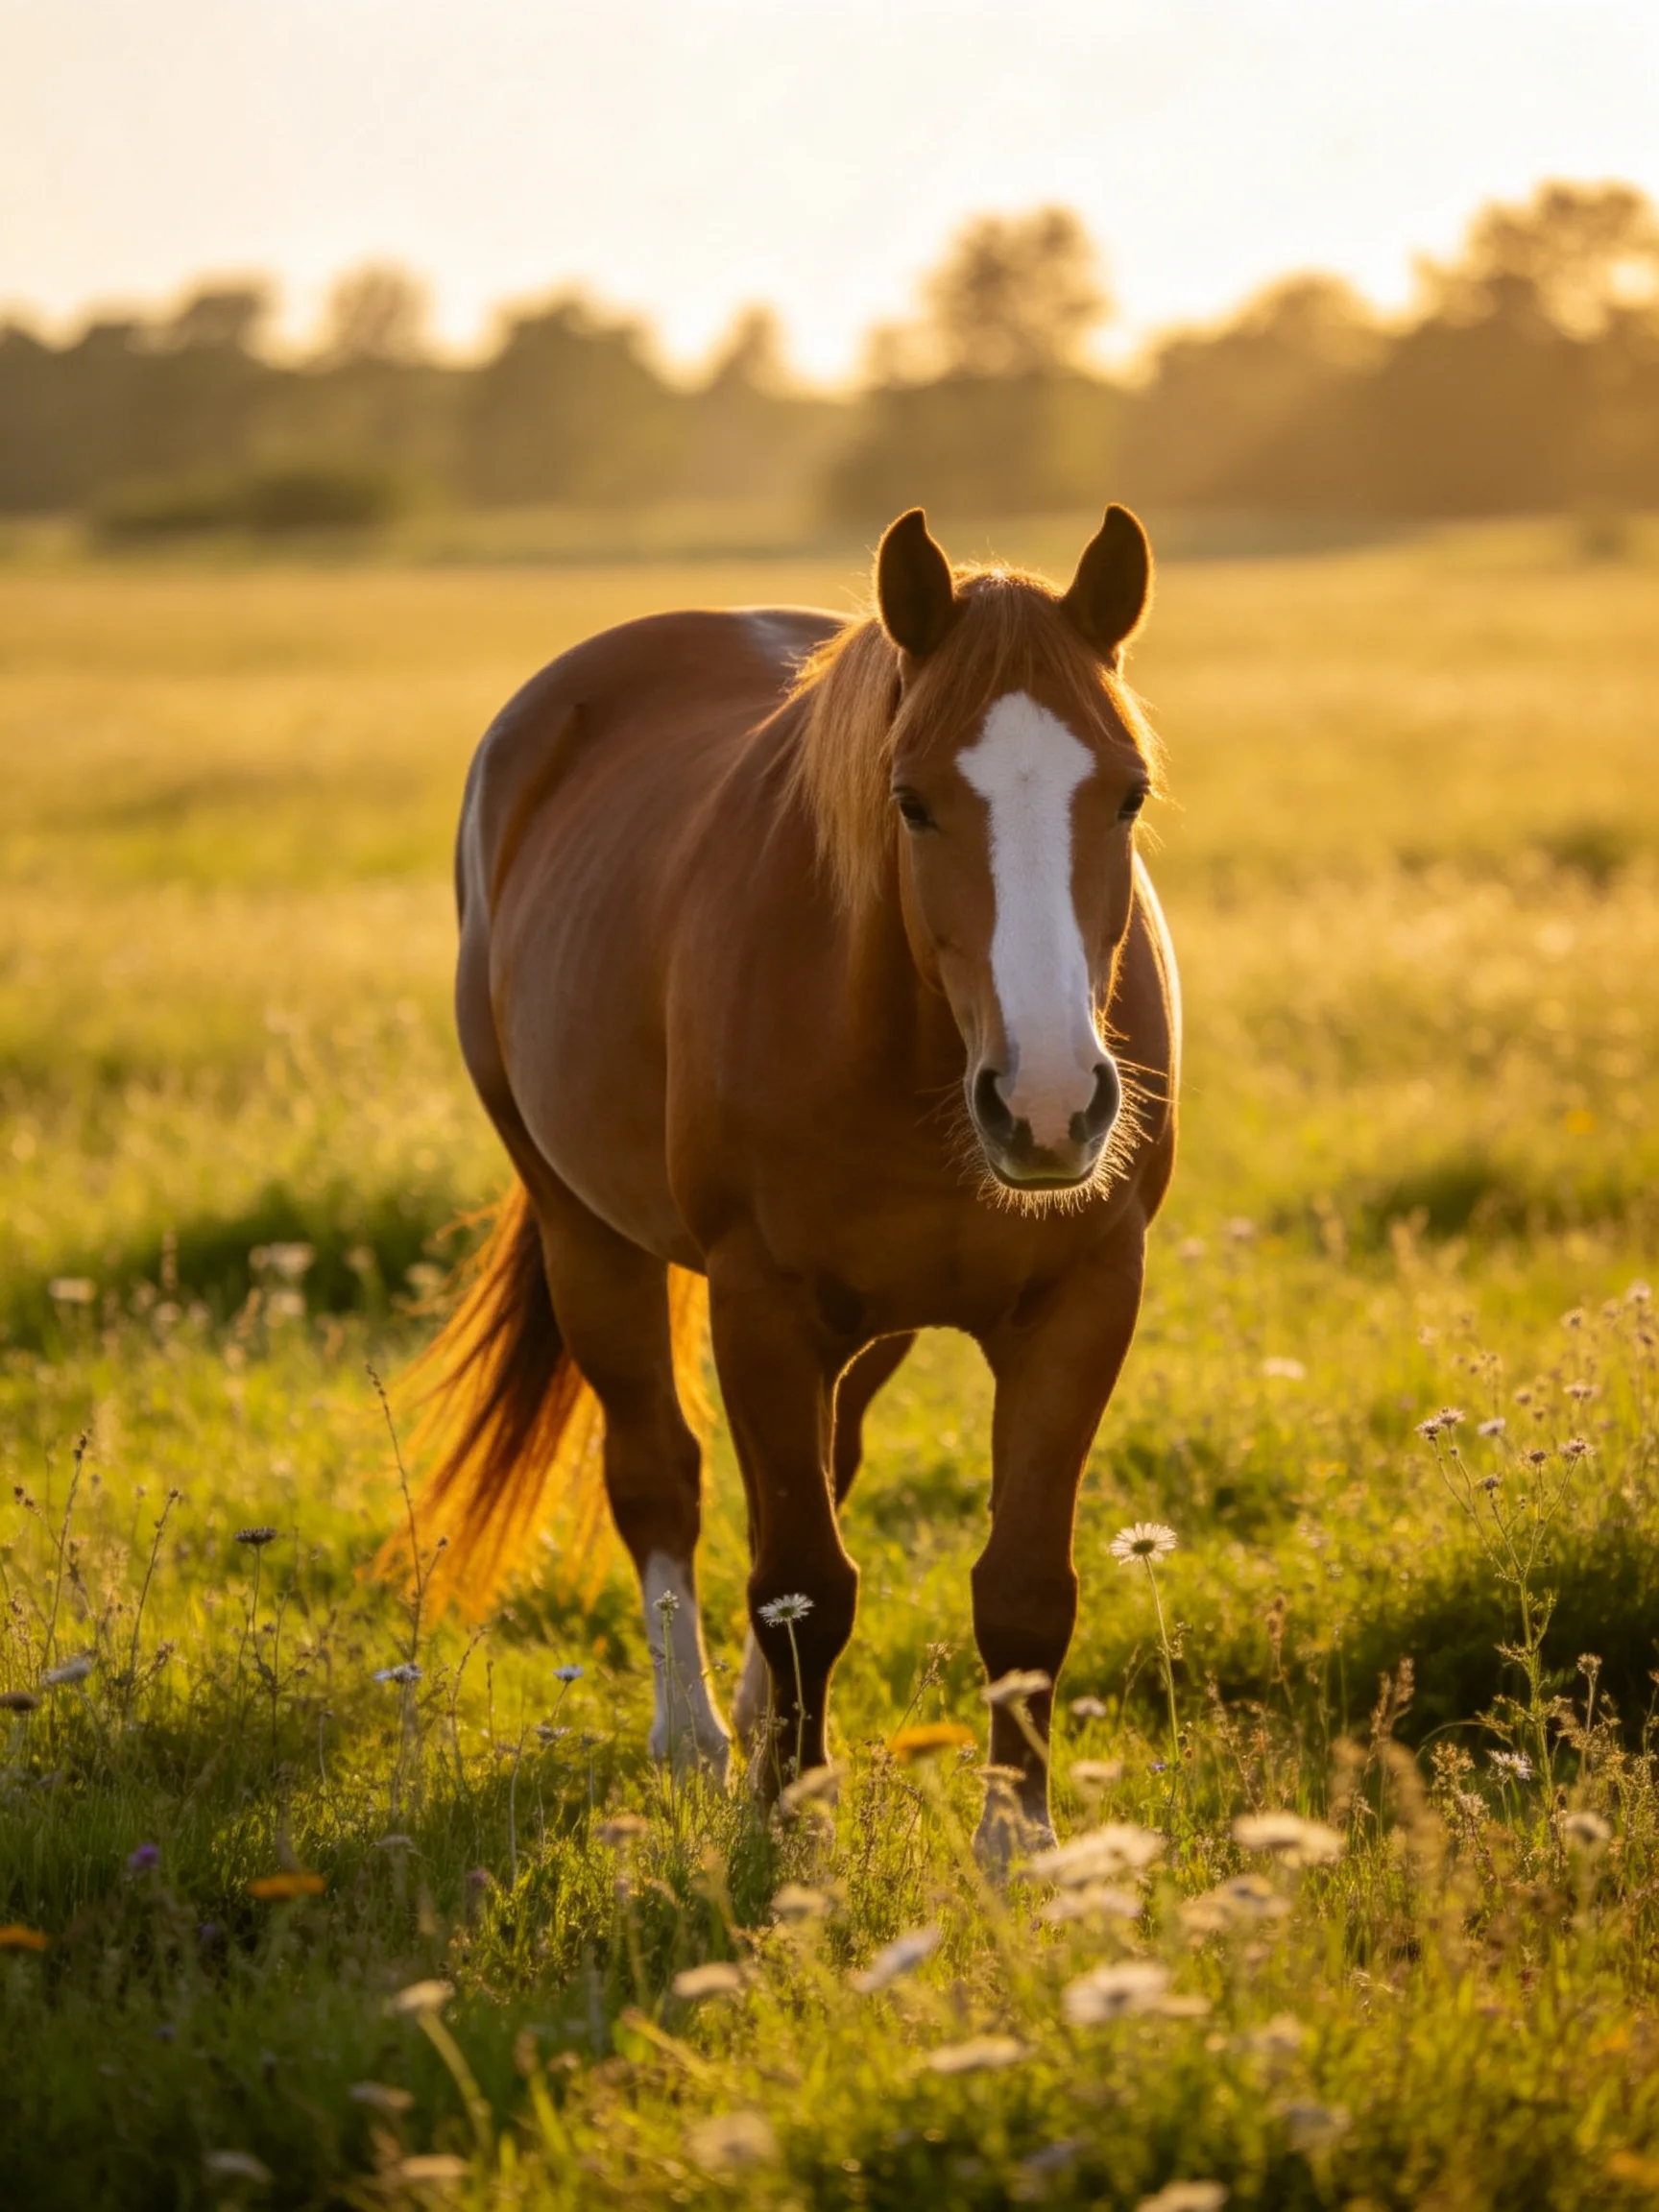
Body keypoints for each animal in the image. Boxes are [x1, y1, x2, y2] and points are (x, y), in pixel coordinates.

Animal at [406, 504, 1179, 1854]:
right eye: (912, 803)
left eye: (1127, 794)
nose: (1047, 1105)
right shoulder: (759, 1302)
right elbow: (804, 1580)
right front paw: (790, 1829)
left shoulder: (1083, 1300)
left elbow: (1022, 1589)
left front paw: (1019, 1851)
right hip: (587, 1235)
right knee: (662, 1478)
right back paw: (701, 1740)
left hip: (872, 1325)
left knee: (813, 1478)